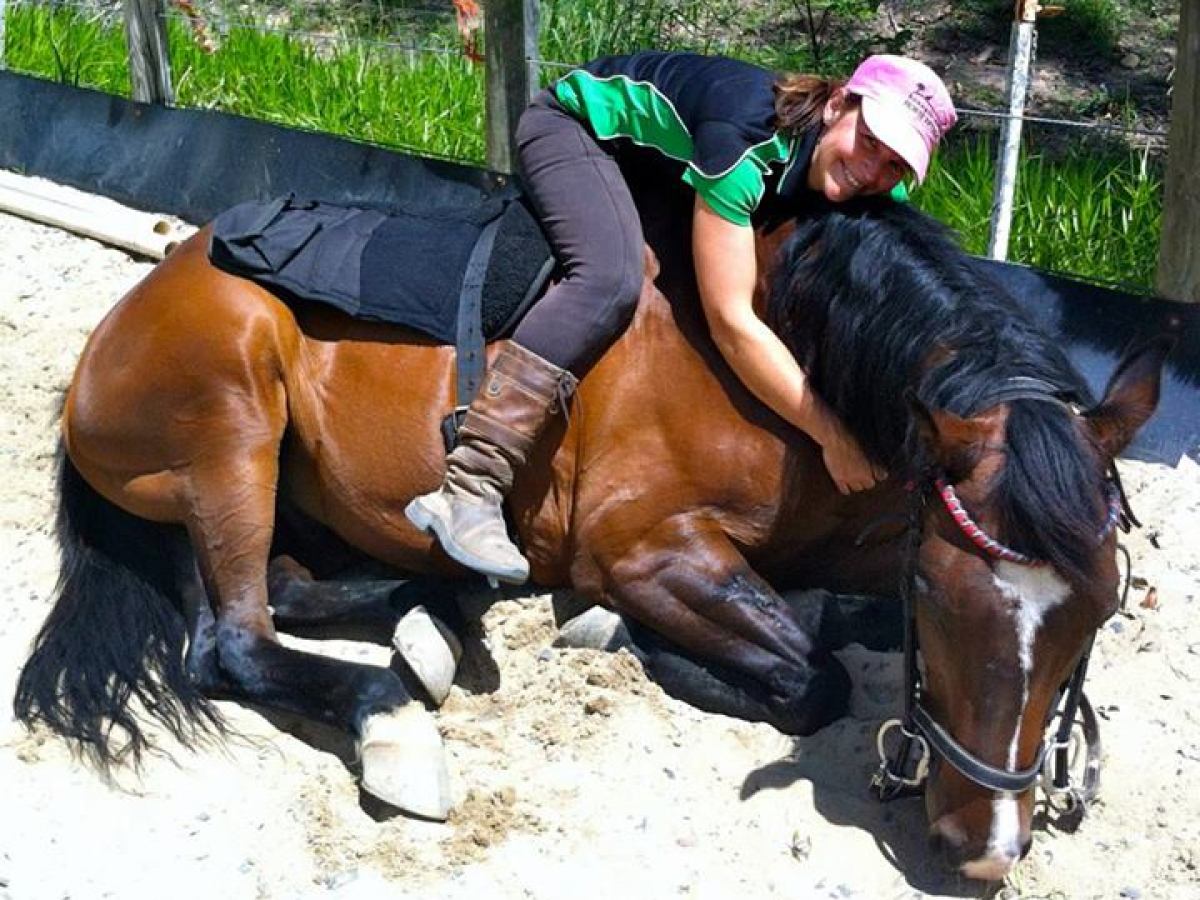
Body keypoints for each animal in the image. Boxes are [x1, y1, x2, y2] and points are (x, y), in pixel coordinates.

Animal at [13, 191, 1166, 880]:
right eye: (942, 597)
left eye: (1099, 612)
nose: (985, 847)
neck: (792, 354)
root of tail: (127, 314)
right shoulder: (643, 550)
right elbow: (810, 676)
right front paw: (636, 638)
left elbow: (840, 623)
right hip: (231, 430)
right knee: (231, 642)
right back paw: (396, 717)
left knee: (290, 588)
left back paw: (437, 612)